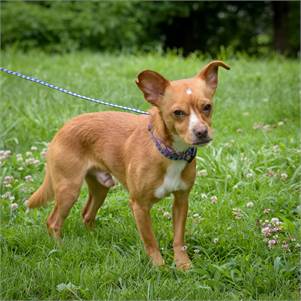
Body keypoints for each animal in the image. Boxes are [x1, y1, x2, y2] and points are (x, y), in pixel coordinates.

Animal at [27, 59, 229, 268]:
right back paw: (61, 247)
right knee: (53, 222)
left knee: (87, 214)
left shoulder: (181, 200)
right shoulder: (139, 206)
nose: (201, 132)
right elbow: (150, 241)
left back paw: (95, 240)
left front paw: (183, 265)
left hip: (101, 187)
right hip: (69, 189)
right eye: (178, 113)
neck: (169, 152)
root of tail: (63, 127)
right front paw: (159, 267)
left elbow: (179, 239)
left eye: (207, 107)